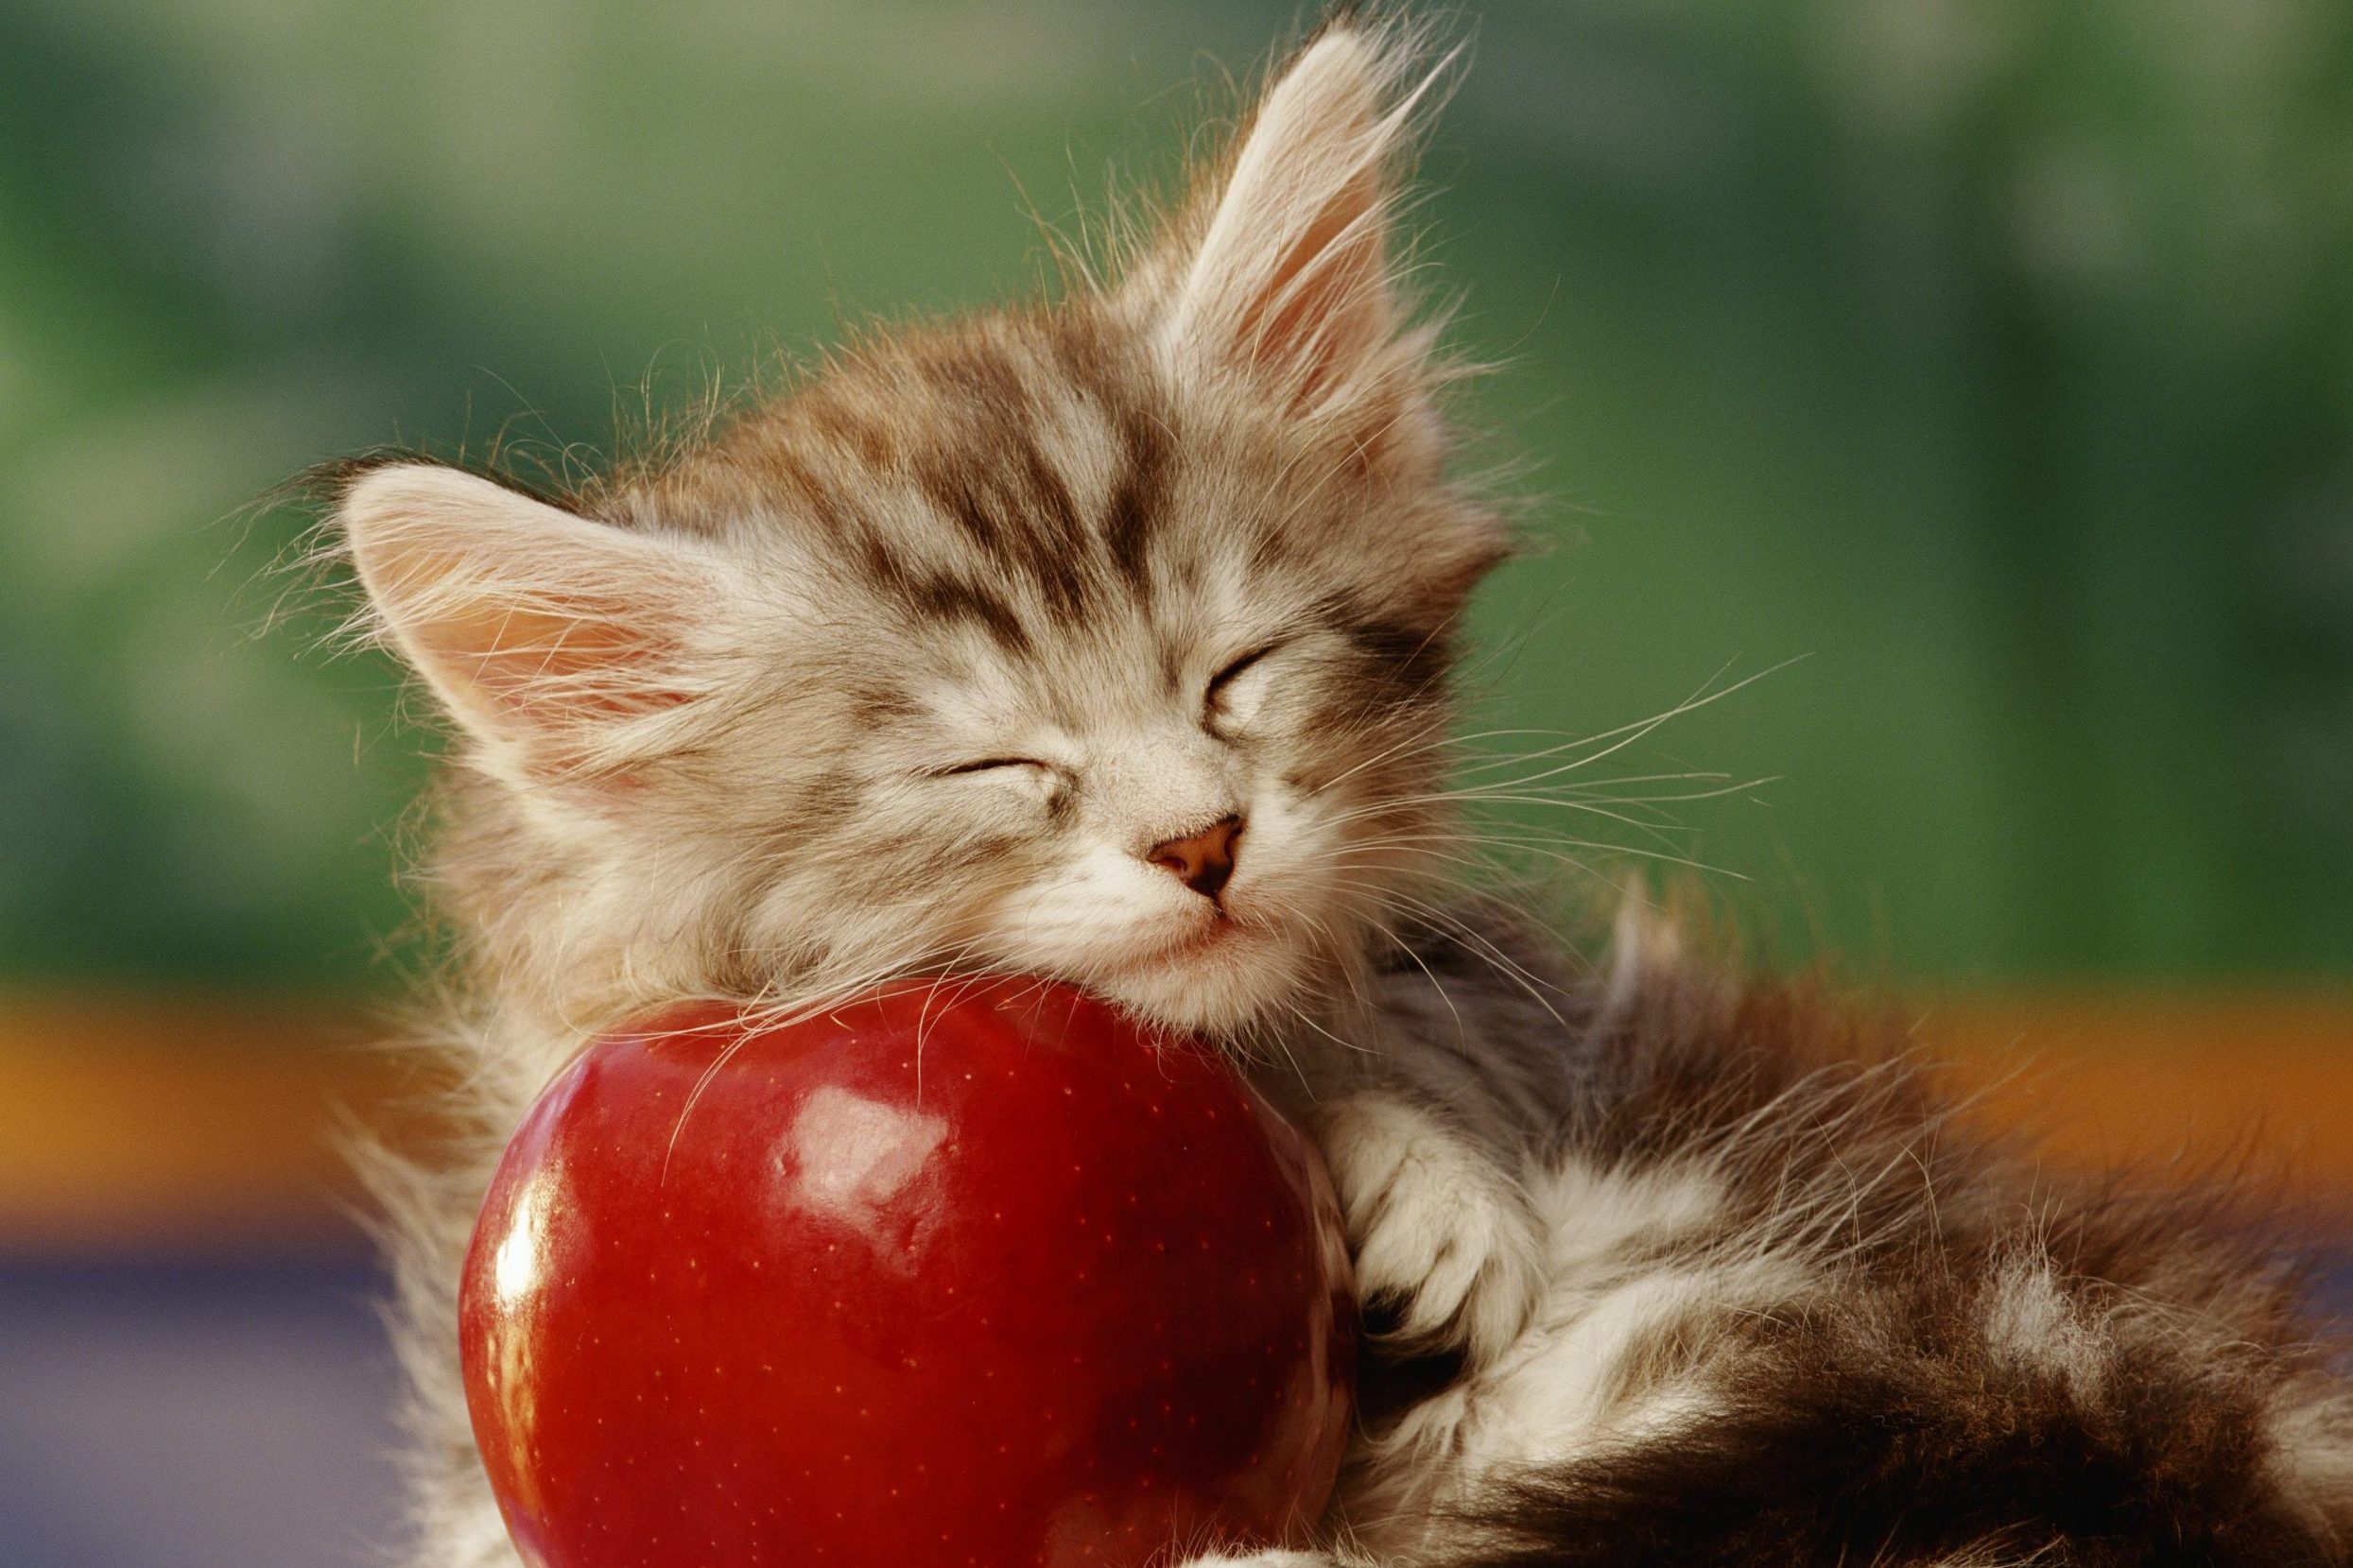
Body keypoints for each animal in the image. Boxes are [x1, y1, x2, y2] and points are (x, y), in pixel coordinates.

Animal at [326, 15, 2353, 1568]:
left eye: (1233, 673)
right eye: (1000, 768)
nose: (1199, 839)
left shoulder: (1505, 990)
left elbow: (1421, 1006)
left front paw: (1414, 1167)